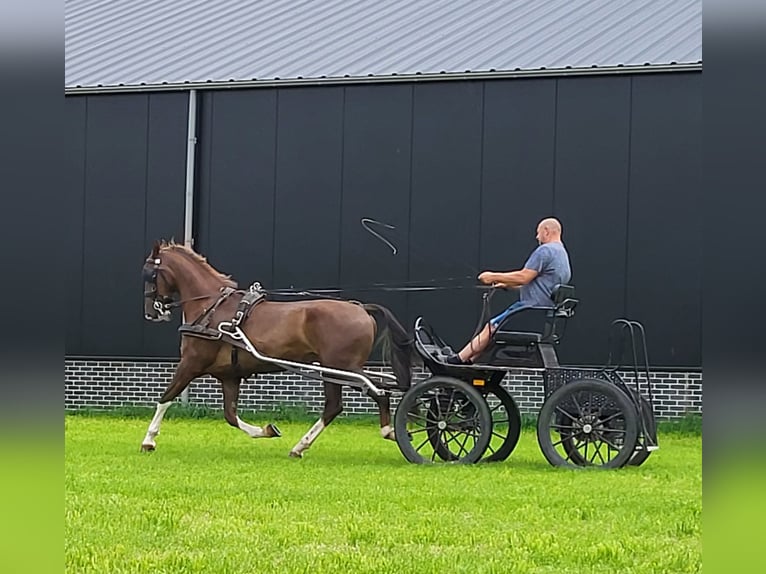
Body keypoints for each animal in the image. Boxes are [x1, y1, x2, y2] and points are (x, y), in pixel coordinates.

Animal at [138, 241, 414, 462]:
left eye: (149, 274)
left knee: (367, 396)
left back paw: (383, 432)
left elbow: (166, 397)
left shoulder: (191, 363)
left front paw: (149, 440)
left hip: (341, 368)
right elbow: (230, 415)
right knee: (349, 402)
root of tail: (361, 308)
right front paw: (267, 430)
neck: (212, 308)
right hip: (337, 370)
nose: (151, 313)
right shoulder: (229, 376)